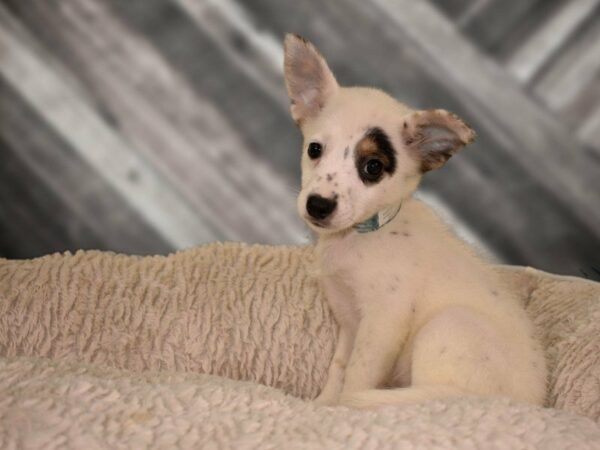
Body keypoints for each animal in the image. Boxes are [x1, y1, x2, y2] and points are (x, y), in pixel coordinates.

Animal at [284, 33, 548, 410]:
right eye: (314, 149)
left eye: (373, 167)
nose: (318, 205)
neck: (363, 234)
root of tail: (527, 404)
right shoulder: (350, 323)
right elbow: (338, 370)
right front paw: (321, 404)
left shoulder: (383, 324)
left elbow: (356, 378)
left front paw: (341, 410)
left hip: (447, 328)